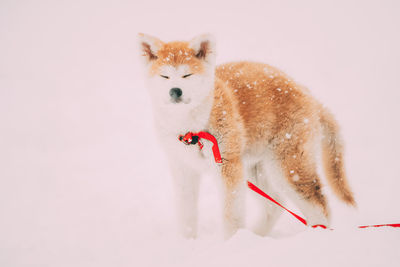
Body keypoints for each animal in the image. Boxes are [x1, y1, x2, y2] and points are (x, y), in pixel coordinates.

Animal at [138, 33, 356, 241]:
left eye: (186, 74)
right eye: (165, 76)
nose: (175, 91)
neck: (193, 128)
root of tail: (305, 92)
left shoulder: (227, 167)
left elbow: (231, 215)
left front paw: (231, 243)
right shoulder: (183, 167)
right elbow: (186, 213)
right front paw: (187, 243)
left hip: (286, 165)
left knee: (318, 203)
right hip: (255, 170)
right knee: (275, 205)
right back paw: (256, 236)